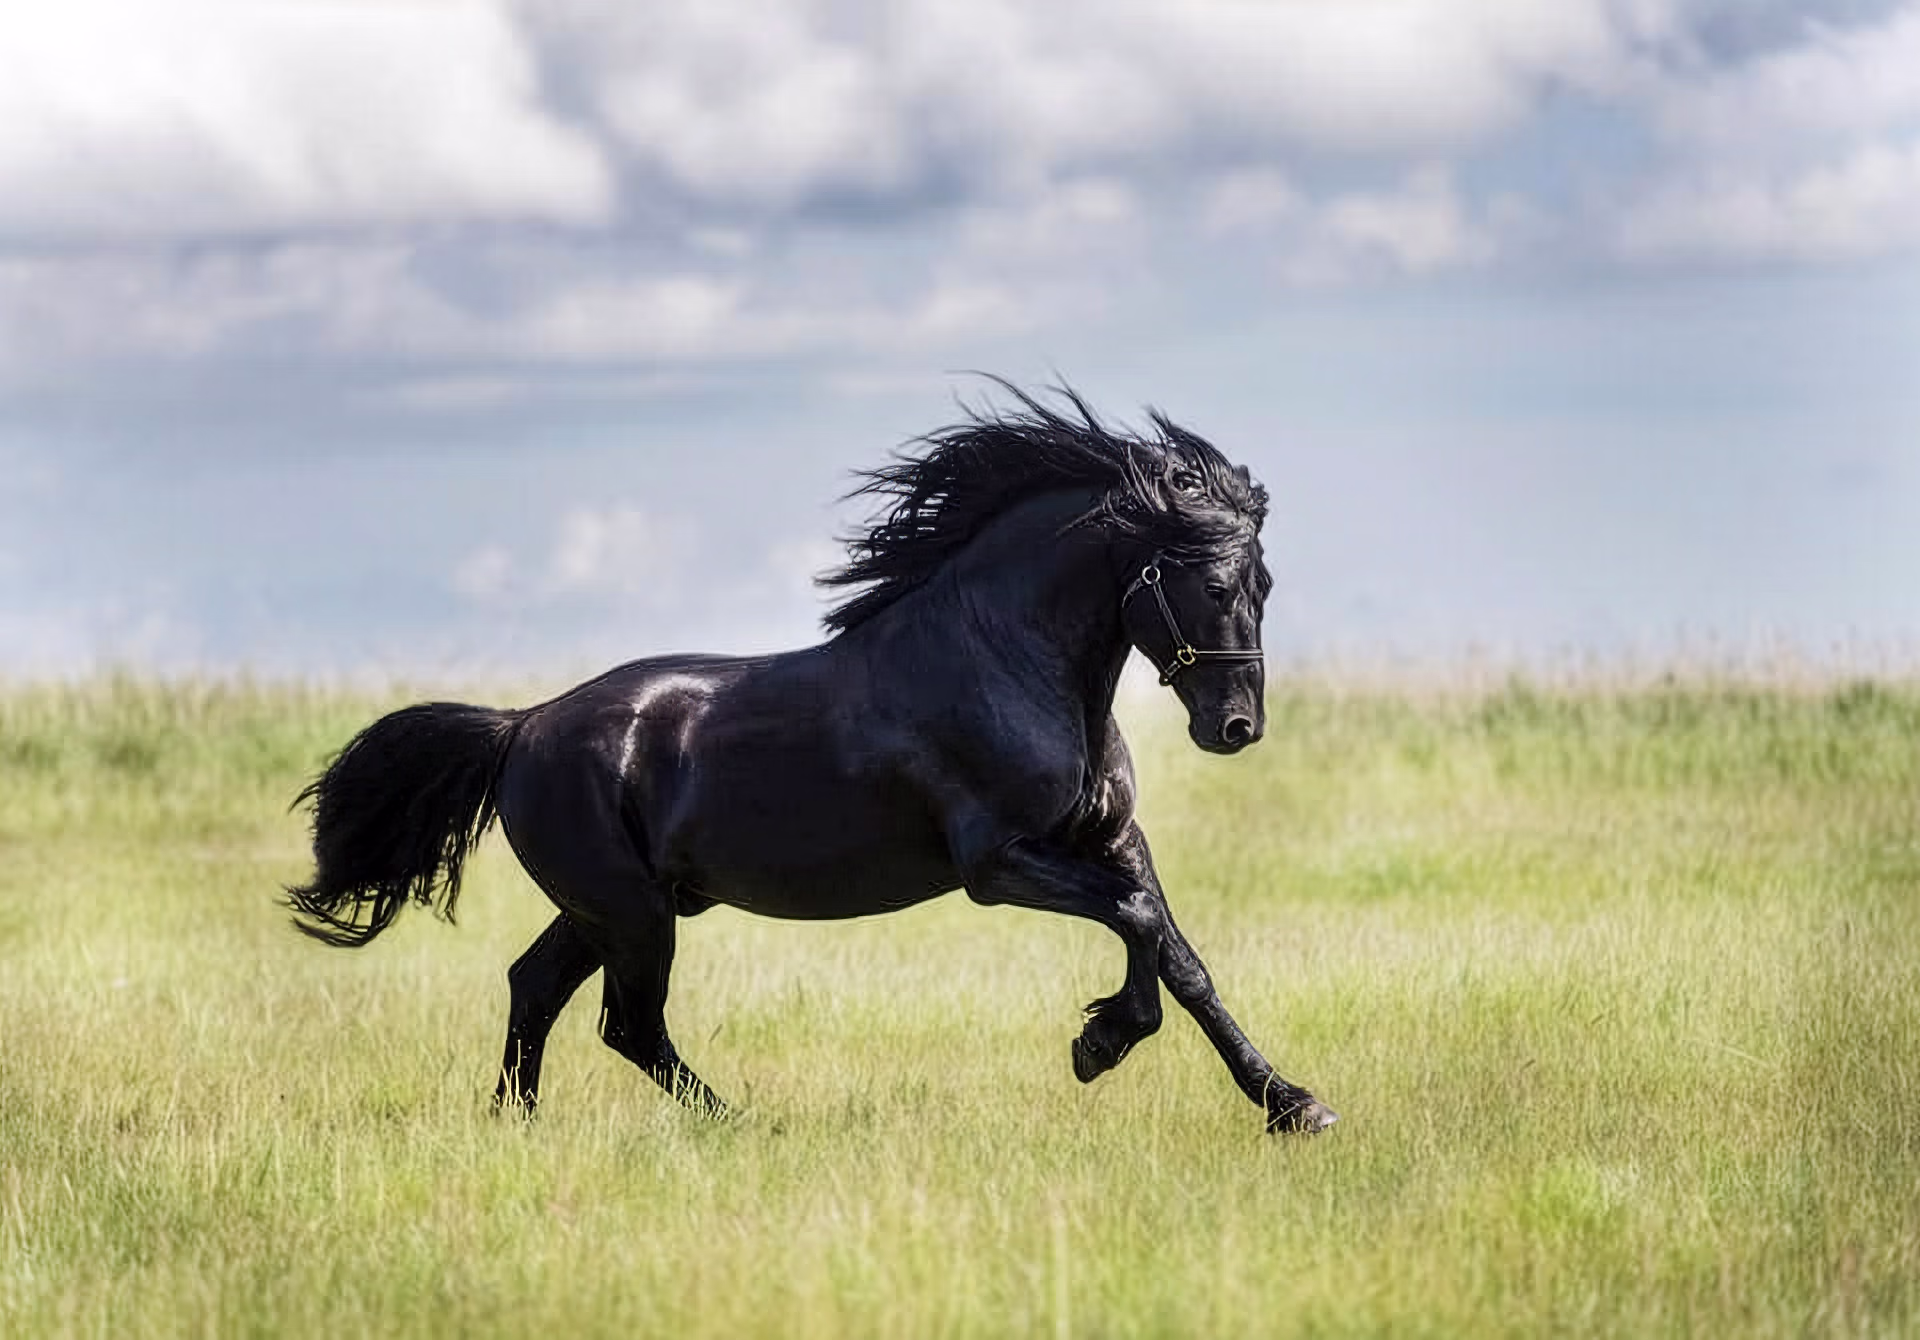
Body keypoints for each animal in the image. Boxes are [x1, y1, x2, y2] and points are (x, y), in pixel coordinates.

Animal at [288, 384, 1338, 1134]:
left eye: (1265, 582)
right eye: (1211, 584)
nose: (1235, 726)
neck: (1008, 662)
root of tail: (522, 728)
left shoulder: (1114, 842)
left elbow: (1178, 956)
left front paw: (1291, 1103)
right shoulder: (998, 866)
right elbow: (1137, 926)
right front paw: (1102, 1043)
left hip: (613, 910)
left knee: (536, 988)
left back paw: (518, 1126)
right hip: (631, 914)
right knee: (627, 1023)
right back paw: (740, 1123)